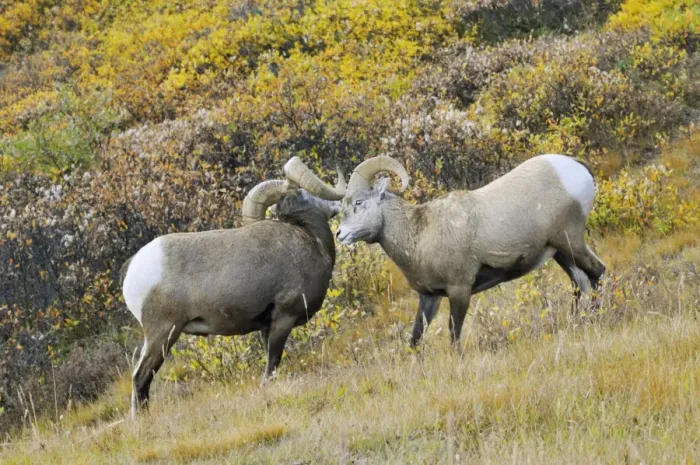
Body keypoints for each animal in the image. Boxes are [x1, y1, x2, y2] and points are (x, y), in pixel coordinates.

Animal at [120, 157, 345, 416]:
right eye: (308, 194)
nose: (336, 205)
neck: (309, 238)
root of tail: (132, 269)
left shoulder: (266, 326)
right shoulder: (283, 318)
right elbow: (272, 363)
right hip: (163, 334)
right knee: (141, 377)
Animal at [335, 154, 606, 348]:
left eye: (359, 202)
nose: (340, 234)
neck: (419, 234)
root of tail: (577, 166)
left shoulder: (459, 291)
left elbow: (454, 336)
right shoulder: (429, 298)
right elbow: (415, 339)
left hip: (570, 242)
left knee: (597, 272)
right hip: (561, 251)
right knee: (580, 282)